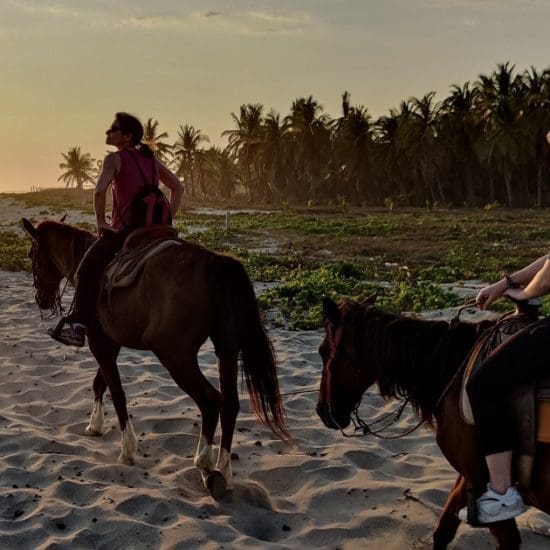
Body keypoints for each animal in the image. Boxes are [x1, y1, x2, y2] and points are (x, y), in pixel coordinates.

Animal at [22, 220, 288, 500]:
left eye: (31, 255)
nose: (41, 299)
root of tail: (215, 262)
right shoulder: (111, 343)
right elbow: (100, 383)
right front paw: (95, 425)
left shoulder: (99, 341)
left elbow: (117, 392)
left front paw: (127, 450)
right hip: (226, 349)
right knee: (229, 404)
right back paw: (223, 471)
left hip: (175, 356)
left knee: (210, 401)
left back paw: (204, 464)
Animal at [314, 300, 550, 548]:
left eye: (323, 351)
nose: (321, 411)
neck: (454, 371)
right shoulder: (467, 476)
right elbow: (443, 530)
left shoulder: (479, 478)